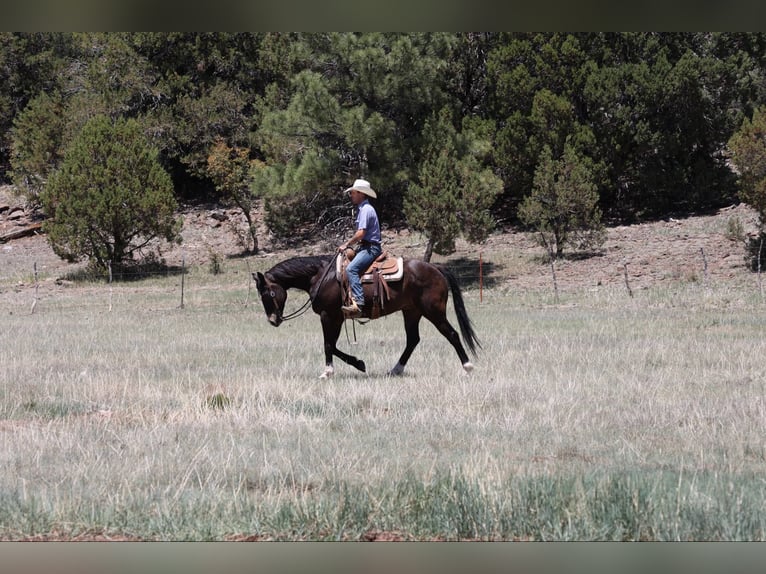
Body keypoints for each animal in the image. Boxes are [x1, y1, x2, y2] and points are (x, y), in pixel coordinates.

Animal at [252, 254, 480, 378]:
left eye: (268, 294)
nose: (272, 321)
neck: (321, 276)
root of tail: (436, 267)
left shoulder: (329, 316)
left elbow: (328, 345)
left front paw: (328, 372)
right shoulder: (337, 318)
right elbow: (333, 345)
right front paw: (359, 363)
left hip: (434, 311)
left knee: (452, 334)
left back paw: (468, 367)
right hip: (411, 312)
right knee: (413, 340)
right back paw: (395, 369)